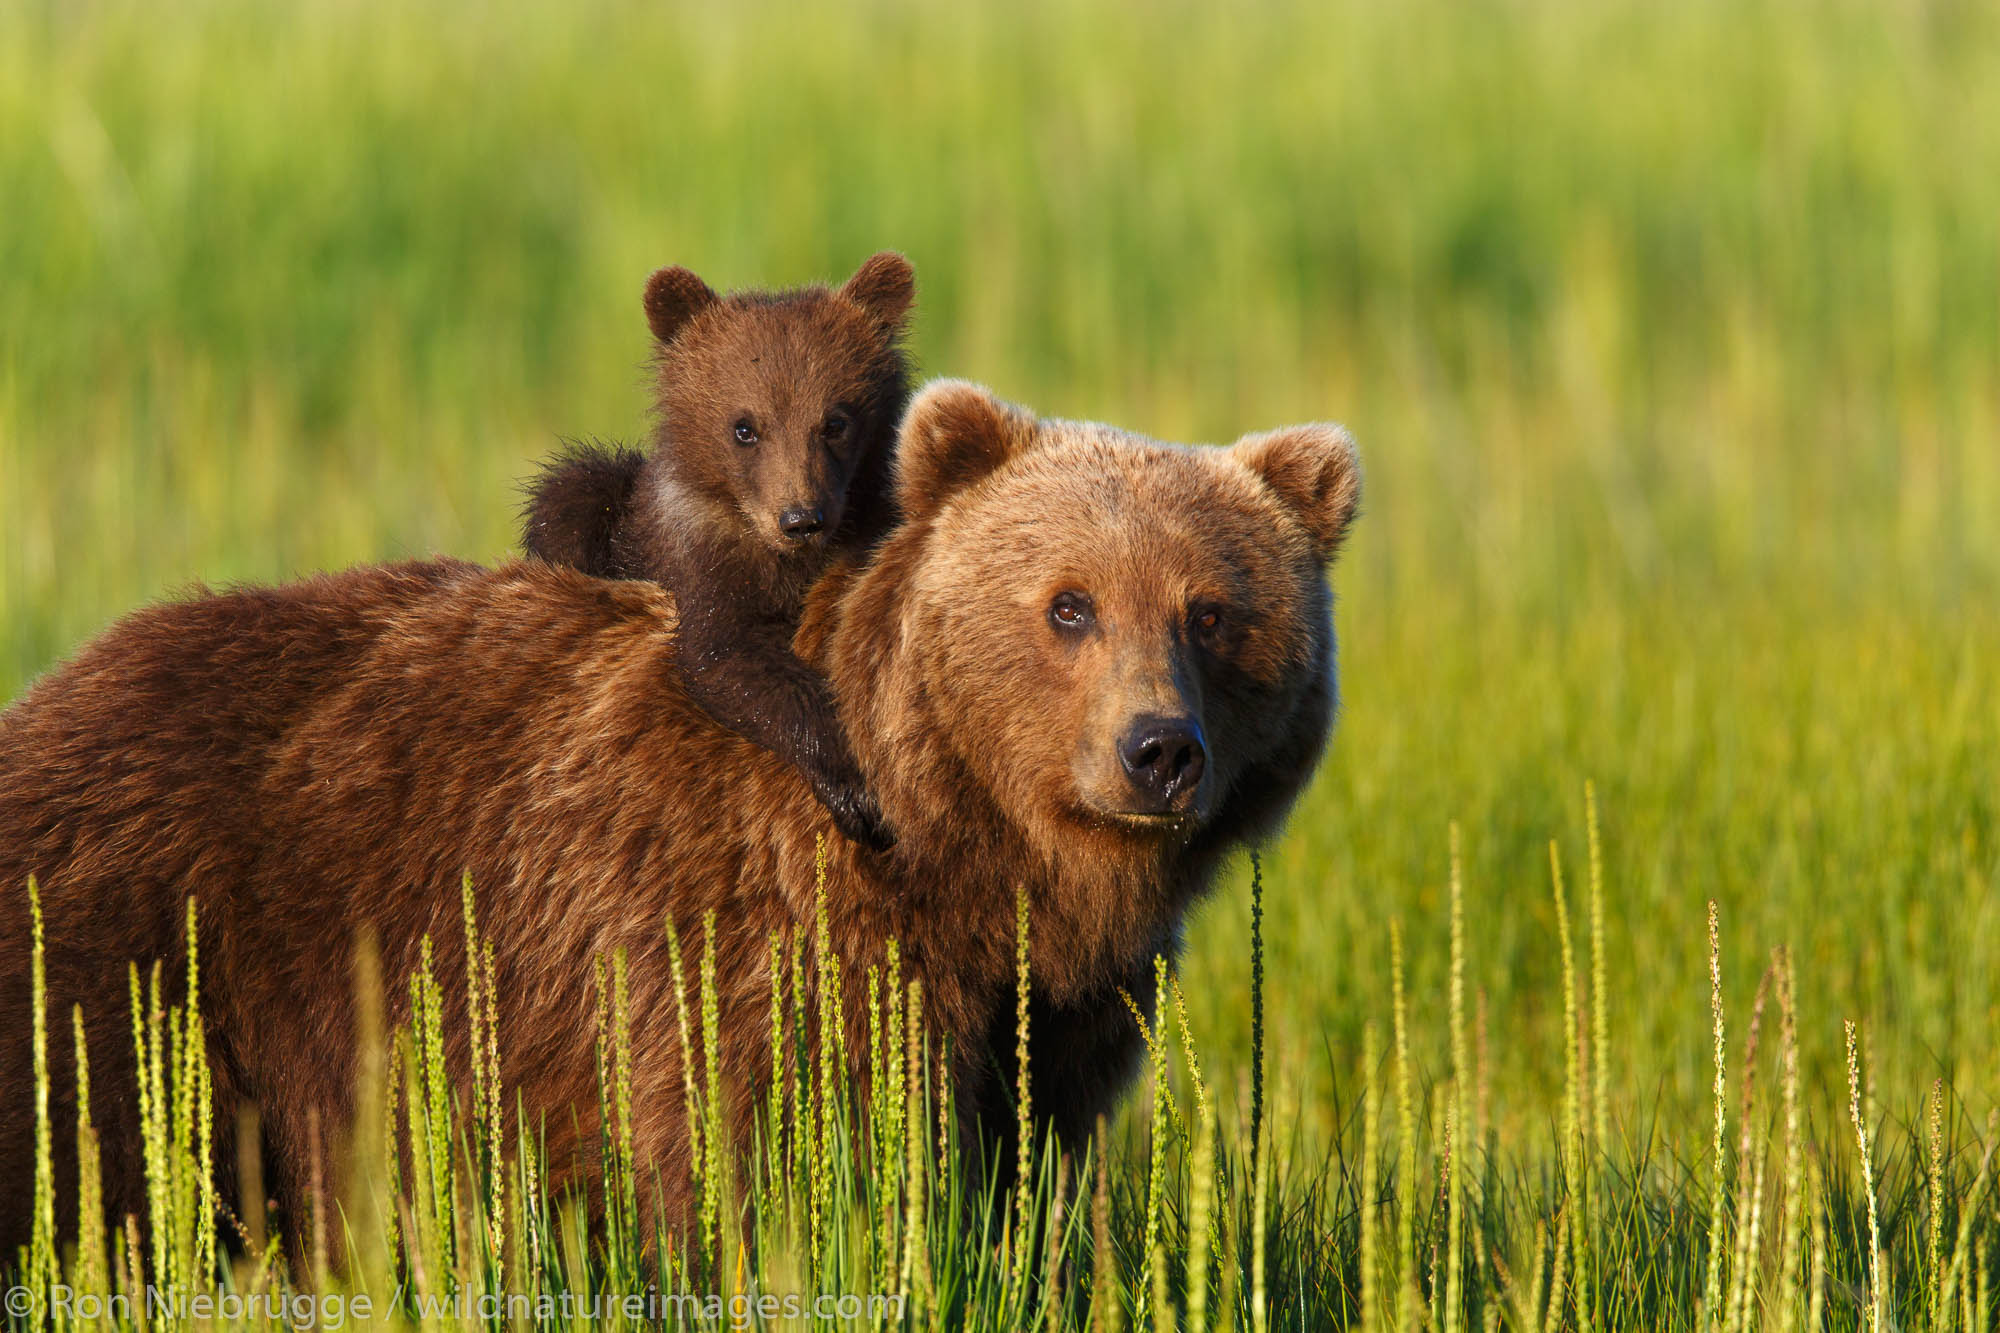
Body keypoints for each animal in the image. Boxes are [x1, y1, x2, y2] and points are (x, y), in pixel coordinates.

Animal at [0, 382, 1360, 1248]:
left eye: (1211, 611)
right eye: (1068, 604)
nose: (1157, 750)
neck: (970, 866)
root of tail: (51, 685)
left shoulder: (1059, 1011)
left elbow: (1018, 1156)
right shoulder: (749, 927)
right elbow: (767, 1151)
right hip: (145, 944)